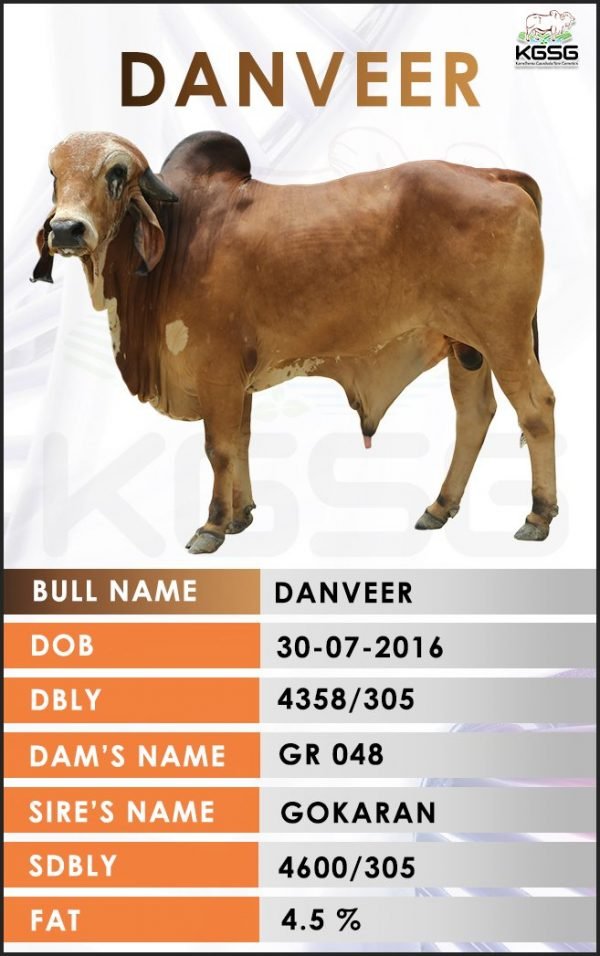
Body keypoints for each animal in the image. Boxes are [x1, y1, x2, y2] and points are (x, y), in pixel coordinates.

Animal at [32, 131, 558, 552]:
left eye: (116, 173)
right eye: (54, 173)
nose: (66, 229)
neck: (179, 237)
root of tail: (494, 175)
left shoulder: (217, 372)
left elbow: (219, 448)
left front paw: (213, 526)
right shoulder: (237, 380)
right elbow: (241, 441)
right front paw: (242, 515)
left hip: (504, 337)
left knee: (536, 408)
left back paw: (538, 515)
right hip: (466, 347)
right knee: (474, 414)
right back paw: (440, 507)